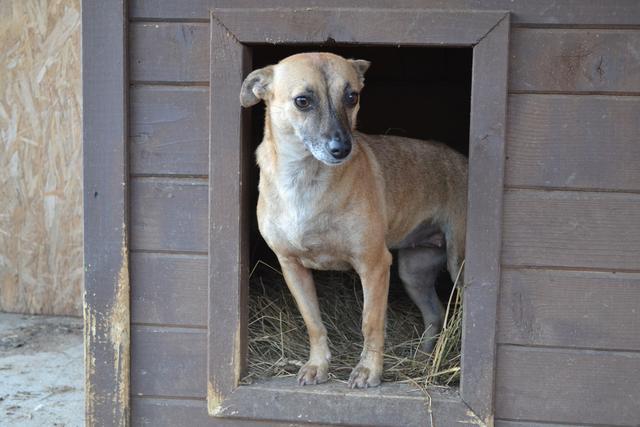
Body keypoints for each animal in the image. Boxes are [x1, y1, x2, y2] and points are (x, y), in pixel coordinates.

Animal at [240, 51, 464, 390]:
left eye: (352, 97)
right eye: (302, 101)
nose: (342, 148)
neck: (305, 179)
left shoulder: (373, 265)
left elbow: (371, 323)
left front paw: (369, 371)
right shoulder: (291, 266)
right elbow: (314, 323)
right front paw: (318, 366)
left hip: (457, 265)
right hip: (413, 271)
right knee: (435, 314)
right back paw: (424, 361)